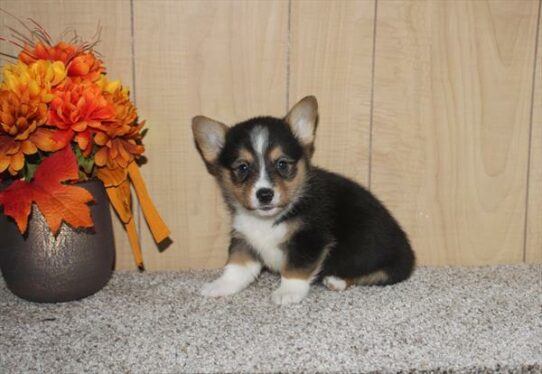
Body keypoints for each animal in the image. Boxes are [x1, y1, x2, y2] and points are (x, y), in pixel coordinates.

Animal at [192, 95, 416, 304]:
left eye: (282, 164)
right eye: (243, 167)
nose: (265, 194)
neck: (268, 220)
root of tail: (409, 251)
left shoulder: (308, 239)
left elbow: (295, 269)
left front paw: (287, 292)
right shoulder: (244, 239)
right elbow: (236, 267)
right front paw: (220, 285)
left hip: (390, 265)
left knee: (376, 275)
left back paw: (337, 281)